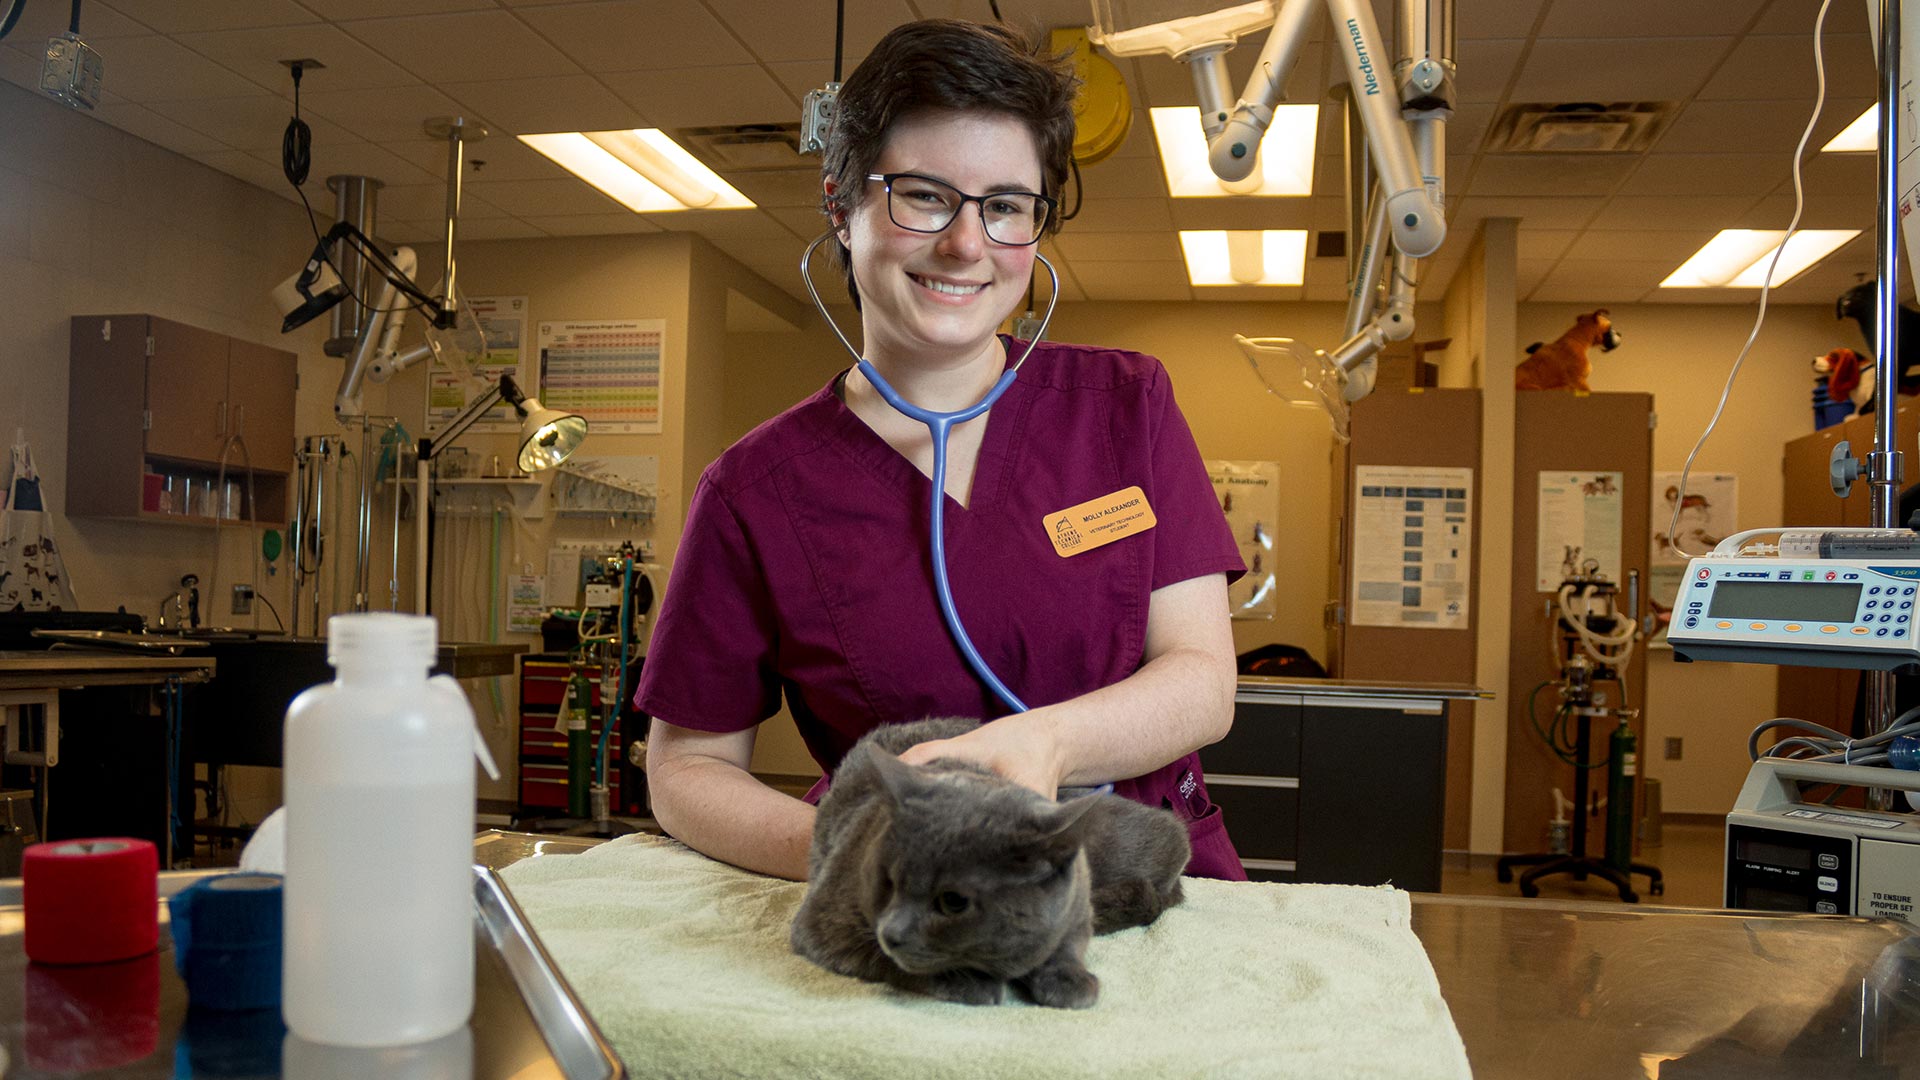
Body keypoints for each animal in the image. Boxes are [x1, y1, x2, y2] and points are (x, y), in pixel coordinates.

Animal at [783, 714, 1182, 1006]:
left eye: (954, 902)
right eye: (888, 882)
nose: (891, 932)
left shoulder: (1078, 902)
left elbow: (1068, 942)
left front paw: (1068, 979)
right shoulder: (824, 923)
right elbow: (891, 961)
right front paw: (970, 982)